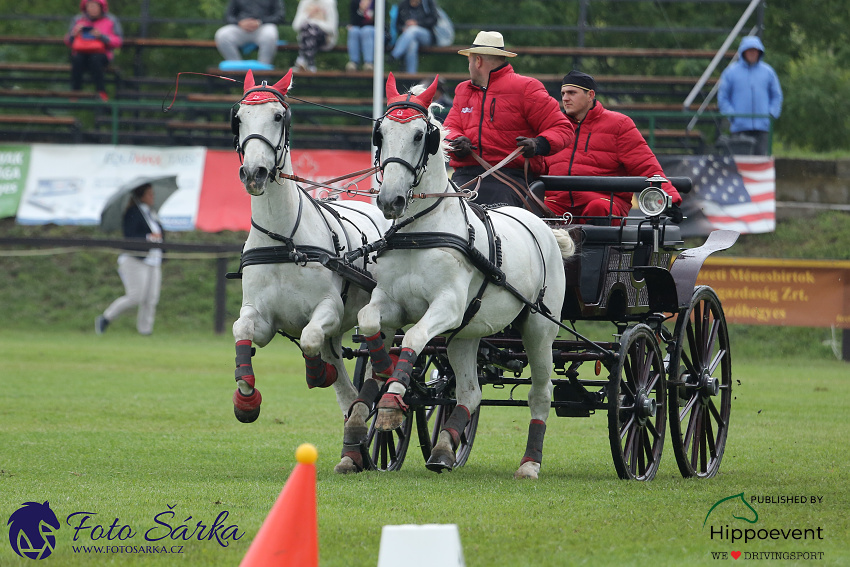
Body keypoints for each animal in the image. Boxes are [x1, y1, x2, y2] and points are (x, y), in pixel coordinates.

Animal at [230, 71, 392, 466]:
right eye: (238, 118)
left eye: (278, 117)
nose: (254, 173)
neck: (285, 241)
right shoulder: (261, 316)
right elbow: (242, 331)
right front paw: (246, 401)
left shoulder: (328, 309)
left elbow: (309, 337)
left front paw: (317, 372)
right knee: (349, 395)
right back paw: (352, 449)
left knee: (377, 367)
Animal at [346, 75, 576, 482]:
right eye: (381, 133)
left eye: (421, 135)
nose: (390, 200)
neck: (421, 231)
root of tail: (544, 226)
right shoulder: (389, 303)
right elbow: (369, 323)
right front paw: (382, 383)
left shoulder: (447, 307)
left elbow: (416, 337)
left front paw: (390, 400)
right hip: (466, 336)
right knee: (469, 392)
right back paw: (443, 449)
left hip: (538, 327)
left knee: (540, 392)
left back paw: (529, 463)